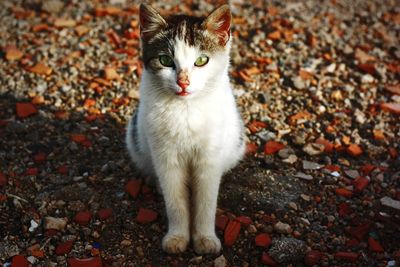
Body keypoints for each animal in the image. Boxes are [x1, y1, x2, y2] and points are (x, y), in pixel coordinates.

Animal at [125, 3, 245, 255]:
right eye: (165, 60)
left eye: (201, 60)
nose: (183, 82)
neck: (186, 109)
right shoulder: (165, 157)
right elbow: (175, 200)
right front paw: (177, 237)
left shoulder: (209, 158)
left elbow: (206, 201)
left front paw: (206, 239)